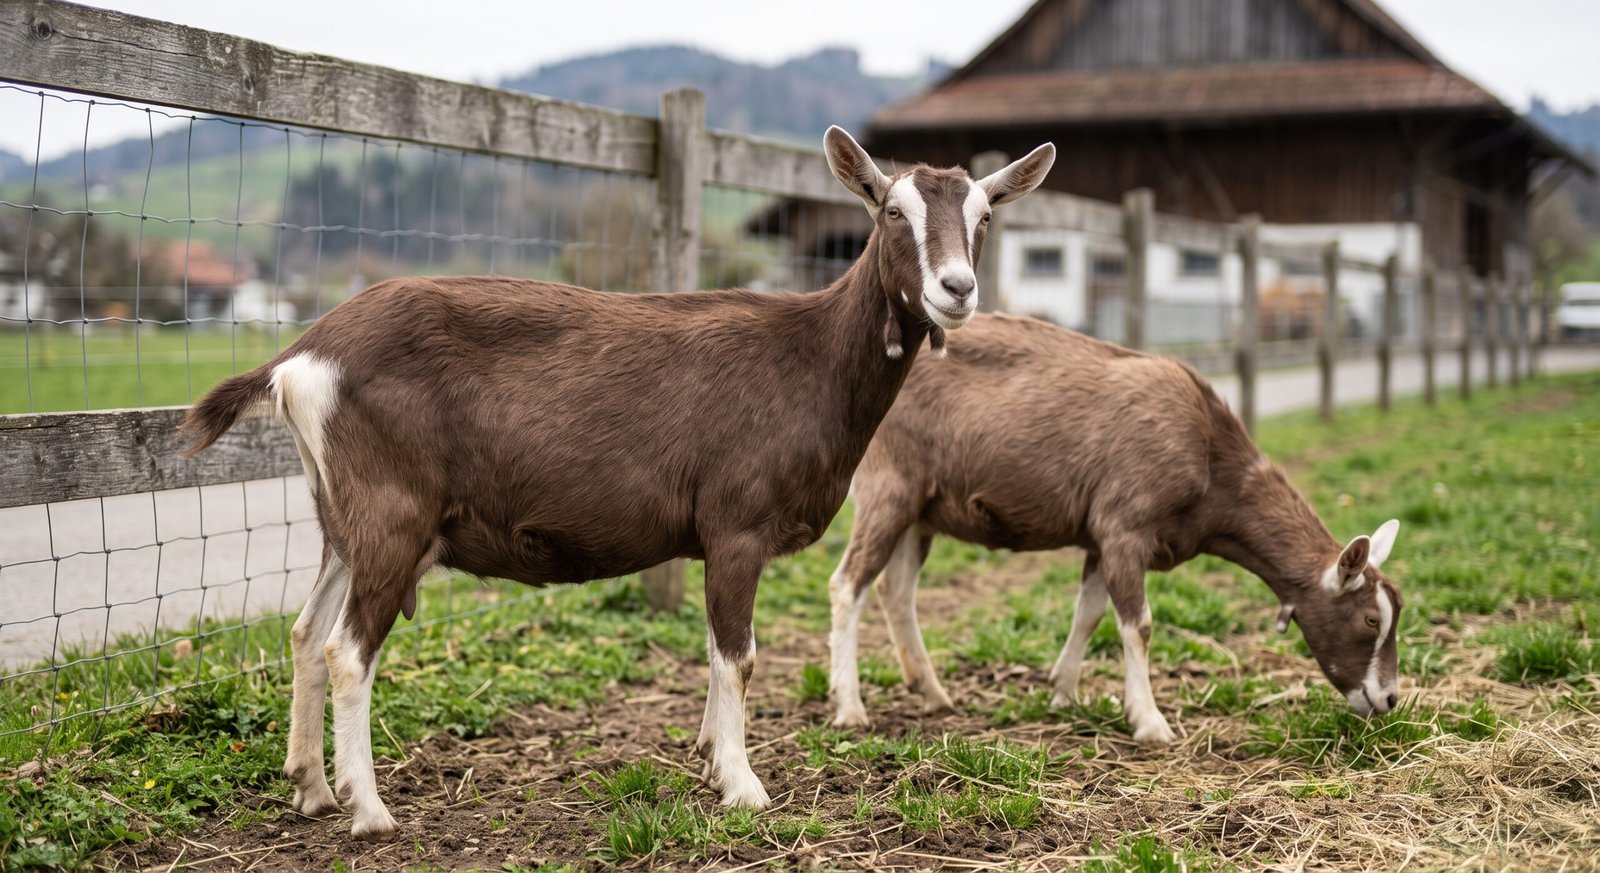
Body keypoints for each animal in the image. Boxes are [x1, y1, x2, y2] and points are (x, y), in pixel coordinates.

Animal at [181, 129, 1055, 839]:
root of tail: (300, 358)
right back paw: (368, 809)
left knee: (303, 632)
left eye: (985, 216)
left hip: (343, 516)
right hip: (393, 514)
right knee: (346, 650)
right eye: (890, 211)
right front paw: (743, 784)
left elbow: (714, 650)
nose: (956, 288)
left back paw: (311, 788)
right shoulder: (737, 525)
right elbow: (738, 653)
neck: (810, 359)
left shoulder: (714, 539)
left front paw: (708, 753)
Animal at [827, 314, 1404, 743]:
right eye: (1371, 620)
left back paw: (932, 693)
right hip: (889, 483)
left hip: (921, 507)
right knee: (848, 584)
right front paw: (1149, 722)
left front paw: (1063, 692)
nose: (1389, 698)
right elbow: (1138, 624)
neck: (1209, 451)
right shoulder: (1126, 526)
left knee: (895, 589)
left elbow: (1089, 612)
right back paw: (850, 708)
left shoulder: (1099, 537)